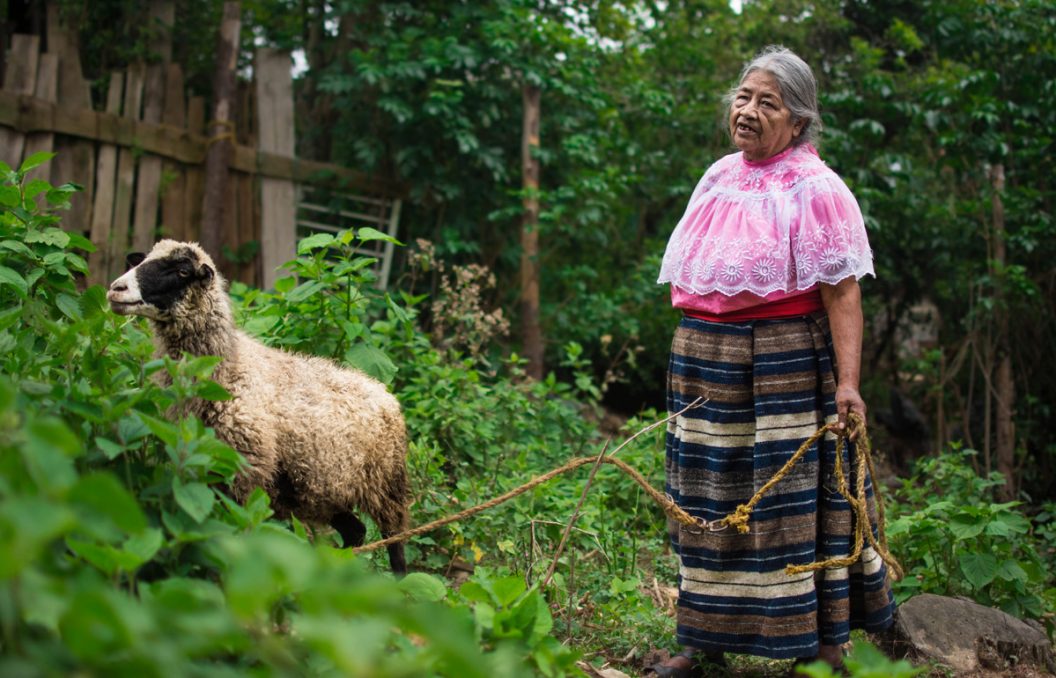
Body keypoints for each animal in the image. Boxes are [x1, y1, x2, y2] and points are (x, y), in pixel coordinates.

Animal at [107, 237, 409, 570]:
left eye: (183, 271)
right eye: (142, 259)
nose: (116, 289)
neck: (230, 367)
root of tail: (383, 391)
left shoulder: (244, 475)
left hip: (386, 484)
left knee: (396, 543)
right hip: (320, 492)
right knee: (355, 531)